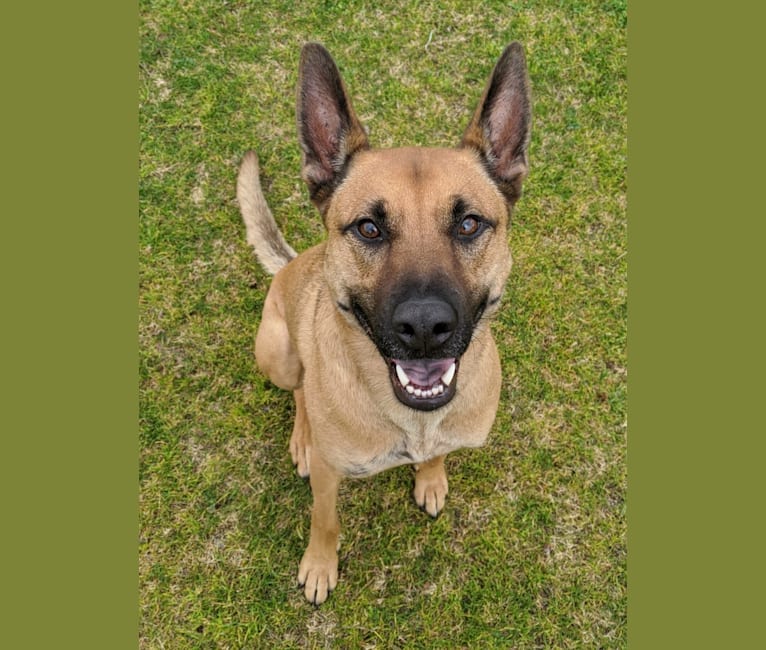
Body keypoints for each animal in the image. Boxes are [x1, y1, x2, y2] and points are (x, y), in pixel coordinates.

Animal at [237, 41, 532, 604]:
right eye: (369, 228)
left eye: (469, 224)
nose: (424, 328)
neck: (413, 423)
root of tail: (291, 263)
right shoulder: (330, 476)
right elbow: (324, 519)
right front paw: (320, 566)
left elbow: (438, 456)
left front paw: (431, 479)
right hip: (278, 353)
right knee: (299, 391)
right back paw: (303, 436)